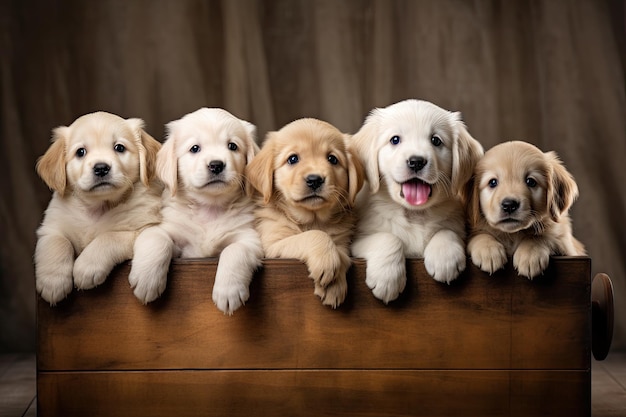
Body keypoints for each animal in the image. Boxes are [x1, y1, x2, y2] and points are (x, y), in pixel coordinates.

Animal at [34, 112, 162, 304]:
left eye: (119, 148)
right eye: (80, 152)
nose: (101, 168)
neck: (98, 206)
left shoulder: (143, 226)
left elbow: (109, 236)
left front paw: (87, 266)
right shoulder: (51, 226)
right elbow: (57, 242)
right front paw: (53, 282)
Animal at [129, 106, 260, 312]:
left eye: (232, 146)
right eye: (195, 148)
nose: (216, 165)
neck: (210, 207)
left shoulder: (249, 238)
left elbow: (235, 250)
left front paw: (228, 291)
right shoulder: (168, 231)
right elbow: (157, 239)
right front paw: (146, 279)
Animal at [245, 118, 364, 308]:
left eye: (332, 159)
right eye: (293, 159)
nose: (315, 180)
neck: (312, 219)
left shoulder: (343, 243)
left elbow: (342, 256)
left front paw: (334, 284)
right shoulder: (272, 246)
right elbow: (314, 235)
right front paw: (327, 263)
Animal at [348, 99, 480, 304]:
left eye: (436, 140)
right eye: (395, 140)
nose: (416, 161)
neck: (414, 213)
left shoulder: (457, 226)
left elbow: (446, 231)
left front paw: (445, 257)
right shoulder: (357, 243)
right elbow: (387, 237)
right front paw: (387, 278)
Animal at [464, 141, 584, 280]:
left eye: (530, 181)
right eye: (492, 182)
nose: (509, 205)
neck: (513, 235)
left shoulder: (565, 242)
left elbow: (542, 236)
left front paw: (530, 254)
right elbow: (479, 234)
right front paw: (488, 250)